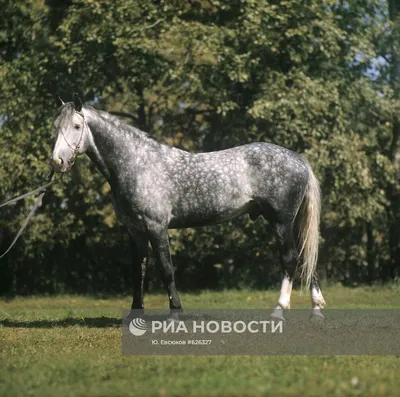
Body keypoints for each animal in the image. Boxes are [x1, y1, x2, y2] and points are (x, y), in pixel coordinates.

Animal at [50, 95, 324, 318]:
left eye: (76, 126)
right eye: (55, 127)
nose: (57, 161)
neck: (137, 164)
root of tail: (300, 160)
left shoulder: (156, 227)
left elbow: (166, 270)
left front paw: (175, 313)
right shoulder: (135, 231)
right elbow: (138, 273)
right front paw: (135, 316)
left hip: (281, 222)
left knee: (290, 260)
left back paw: (279, 311)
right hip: (292, 223)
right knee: (306, 257)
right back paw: (316, 310)